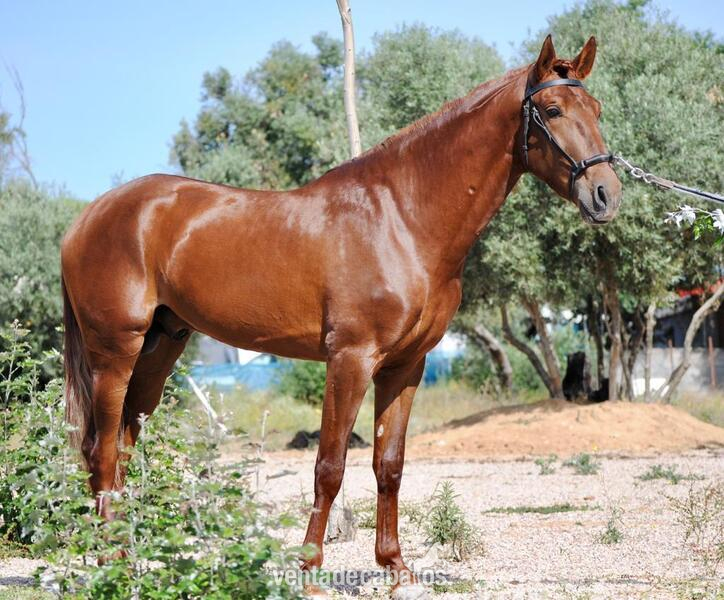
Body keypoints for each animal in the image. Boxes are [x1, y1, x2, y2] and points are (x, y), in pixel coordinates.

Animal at [61, 35, 621, 595]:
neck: (402, 219)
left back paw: (132, 553)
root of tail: (86, 219)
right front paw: (308, 571)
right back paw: (109, 559)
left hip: (161, 347)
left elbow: (389, 464)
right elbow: (329, 466)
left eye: (596, 109)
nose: (606, 194)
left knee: (123, 445)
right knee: (100, 448)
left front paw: (397, 569)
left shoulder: (405, 366)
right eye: (553, 110)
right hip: (115, 352)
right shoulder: (350, 359)